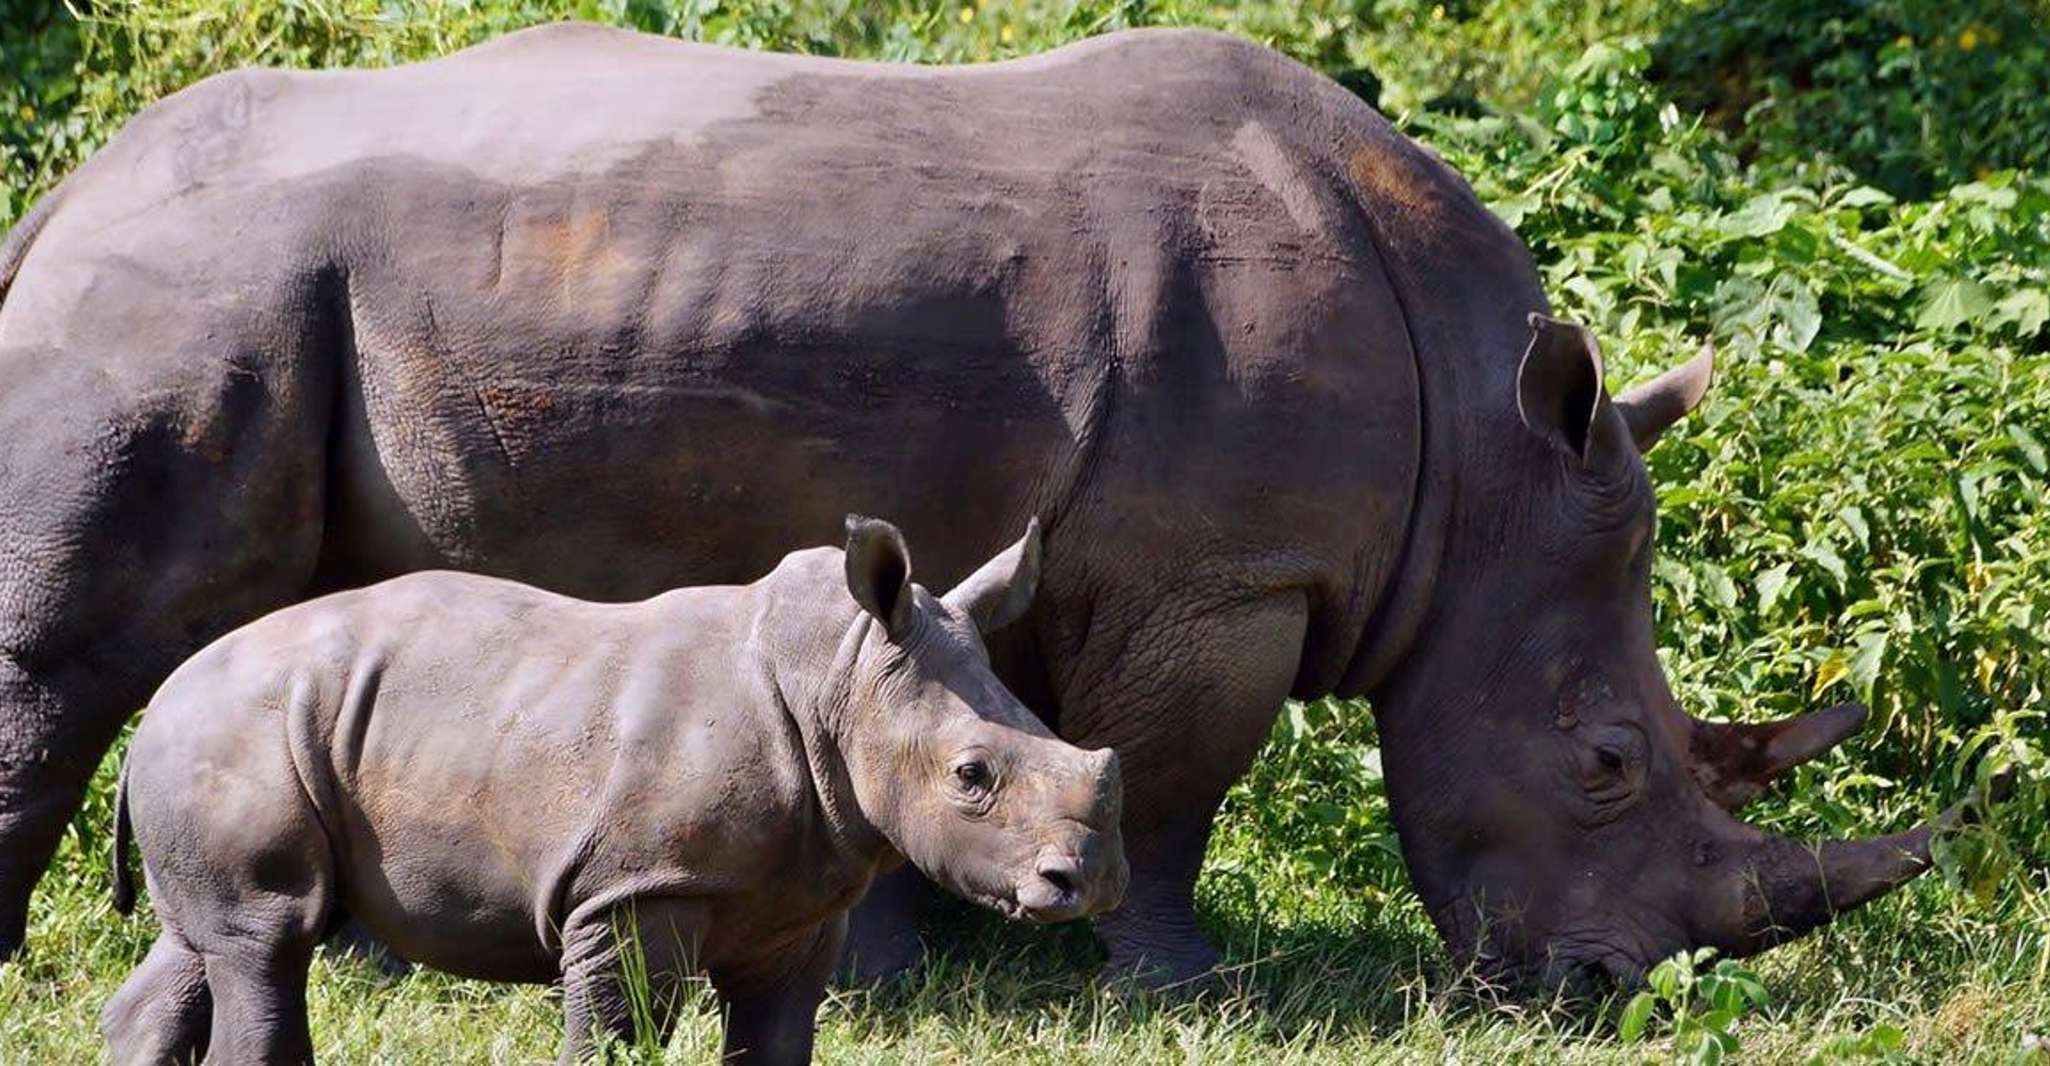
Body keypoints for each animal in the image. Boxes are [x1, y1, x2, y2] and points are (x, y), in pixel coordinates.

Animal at [0, 23, 1967, 988]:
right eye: (1607, 765)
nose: (1614, 989)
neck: (1481, 471)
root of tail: (64, 197)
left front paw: (926, 948)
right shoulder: (1222, 577)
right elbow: (1172, 780)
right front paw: (1180, 985)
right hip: (194, 292)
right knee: (98, 636)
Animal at [101, 517, 1124, 1064]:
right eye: (972, 775)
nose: (1091, 883)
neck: (839, 676)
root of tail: (154, 705)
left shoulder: (795, 905)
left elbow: (776, 1039)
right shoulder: (635, 890)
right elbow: (618, 1034)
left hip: (233, 738)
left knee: (209, 940)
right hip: (239, 730)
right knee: (268, 939)